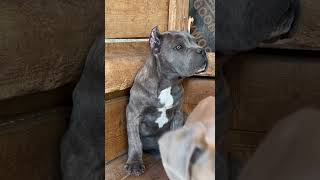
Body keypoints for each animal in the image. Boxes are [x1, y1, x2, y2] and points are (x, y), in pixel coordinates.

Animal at [122, 26, 208, 176]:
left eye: (196, 42)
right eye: (178, 47)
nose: (202, 50)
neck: (168, 83)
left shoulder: (178, 114)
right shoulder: (133, 114)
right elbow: (134, 140)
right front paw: (134, 163)